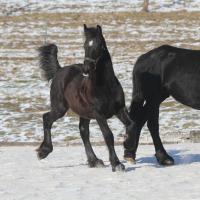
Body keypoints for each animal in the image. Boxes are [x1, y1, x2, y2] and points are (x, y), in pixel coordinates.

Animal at [36, 24, 136, 172]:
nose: (86, 68)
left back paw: (94, 161)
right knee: (47, 118)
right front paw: (117, 164)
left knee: (83, 132)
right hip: (60, 108)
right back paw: (43, 151)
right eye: (84, 45)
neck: (105, 86)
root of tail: (59, 70)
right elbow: (108, 135)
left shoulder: (120, 109)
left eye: (99, 45)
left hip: (83, 113)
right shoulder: (99, 114)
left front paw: (128, 145)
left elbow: (132, 125)